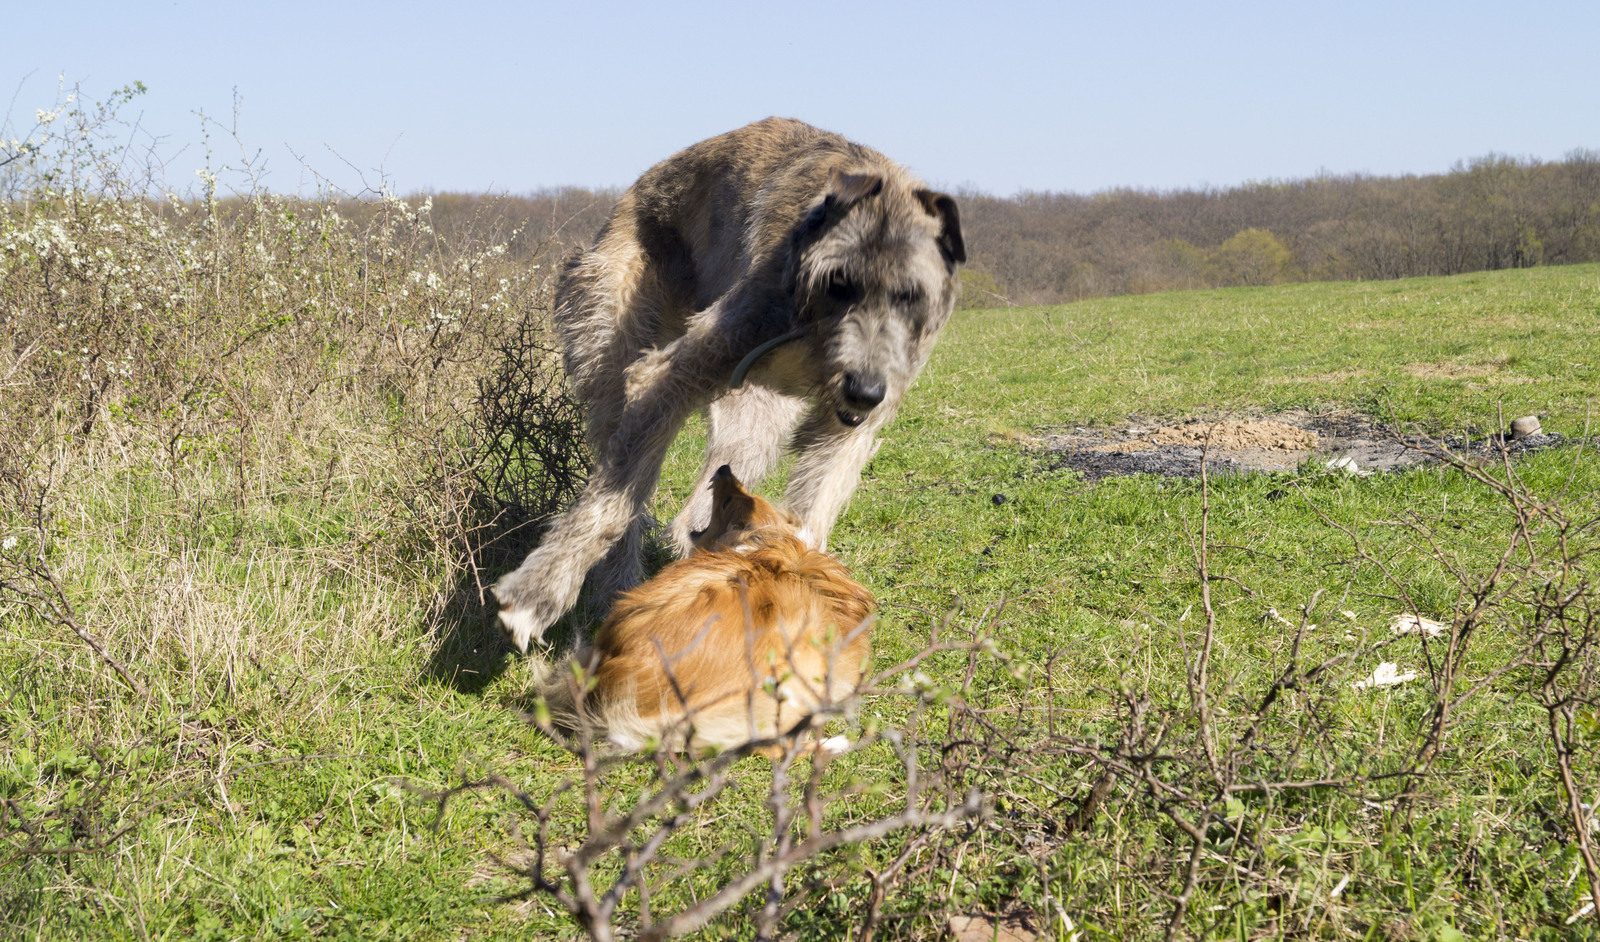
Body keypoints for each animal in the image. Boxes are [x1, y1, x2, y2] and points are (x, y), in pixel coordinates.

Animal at [489, 115, 960, 652]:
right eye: (838, 284)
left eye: (910, 295)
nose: (864, 390)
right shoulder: (679, 368)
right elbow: (611, 504)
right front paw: (536, 595)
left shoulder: (845, 430)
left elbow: (812, 509)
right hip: (612, 343)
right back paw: (619, 588)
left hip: (755, 419)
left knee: (699, 506)